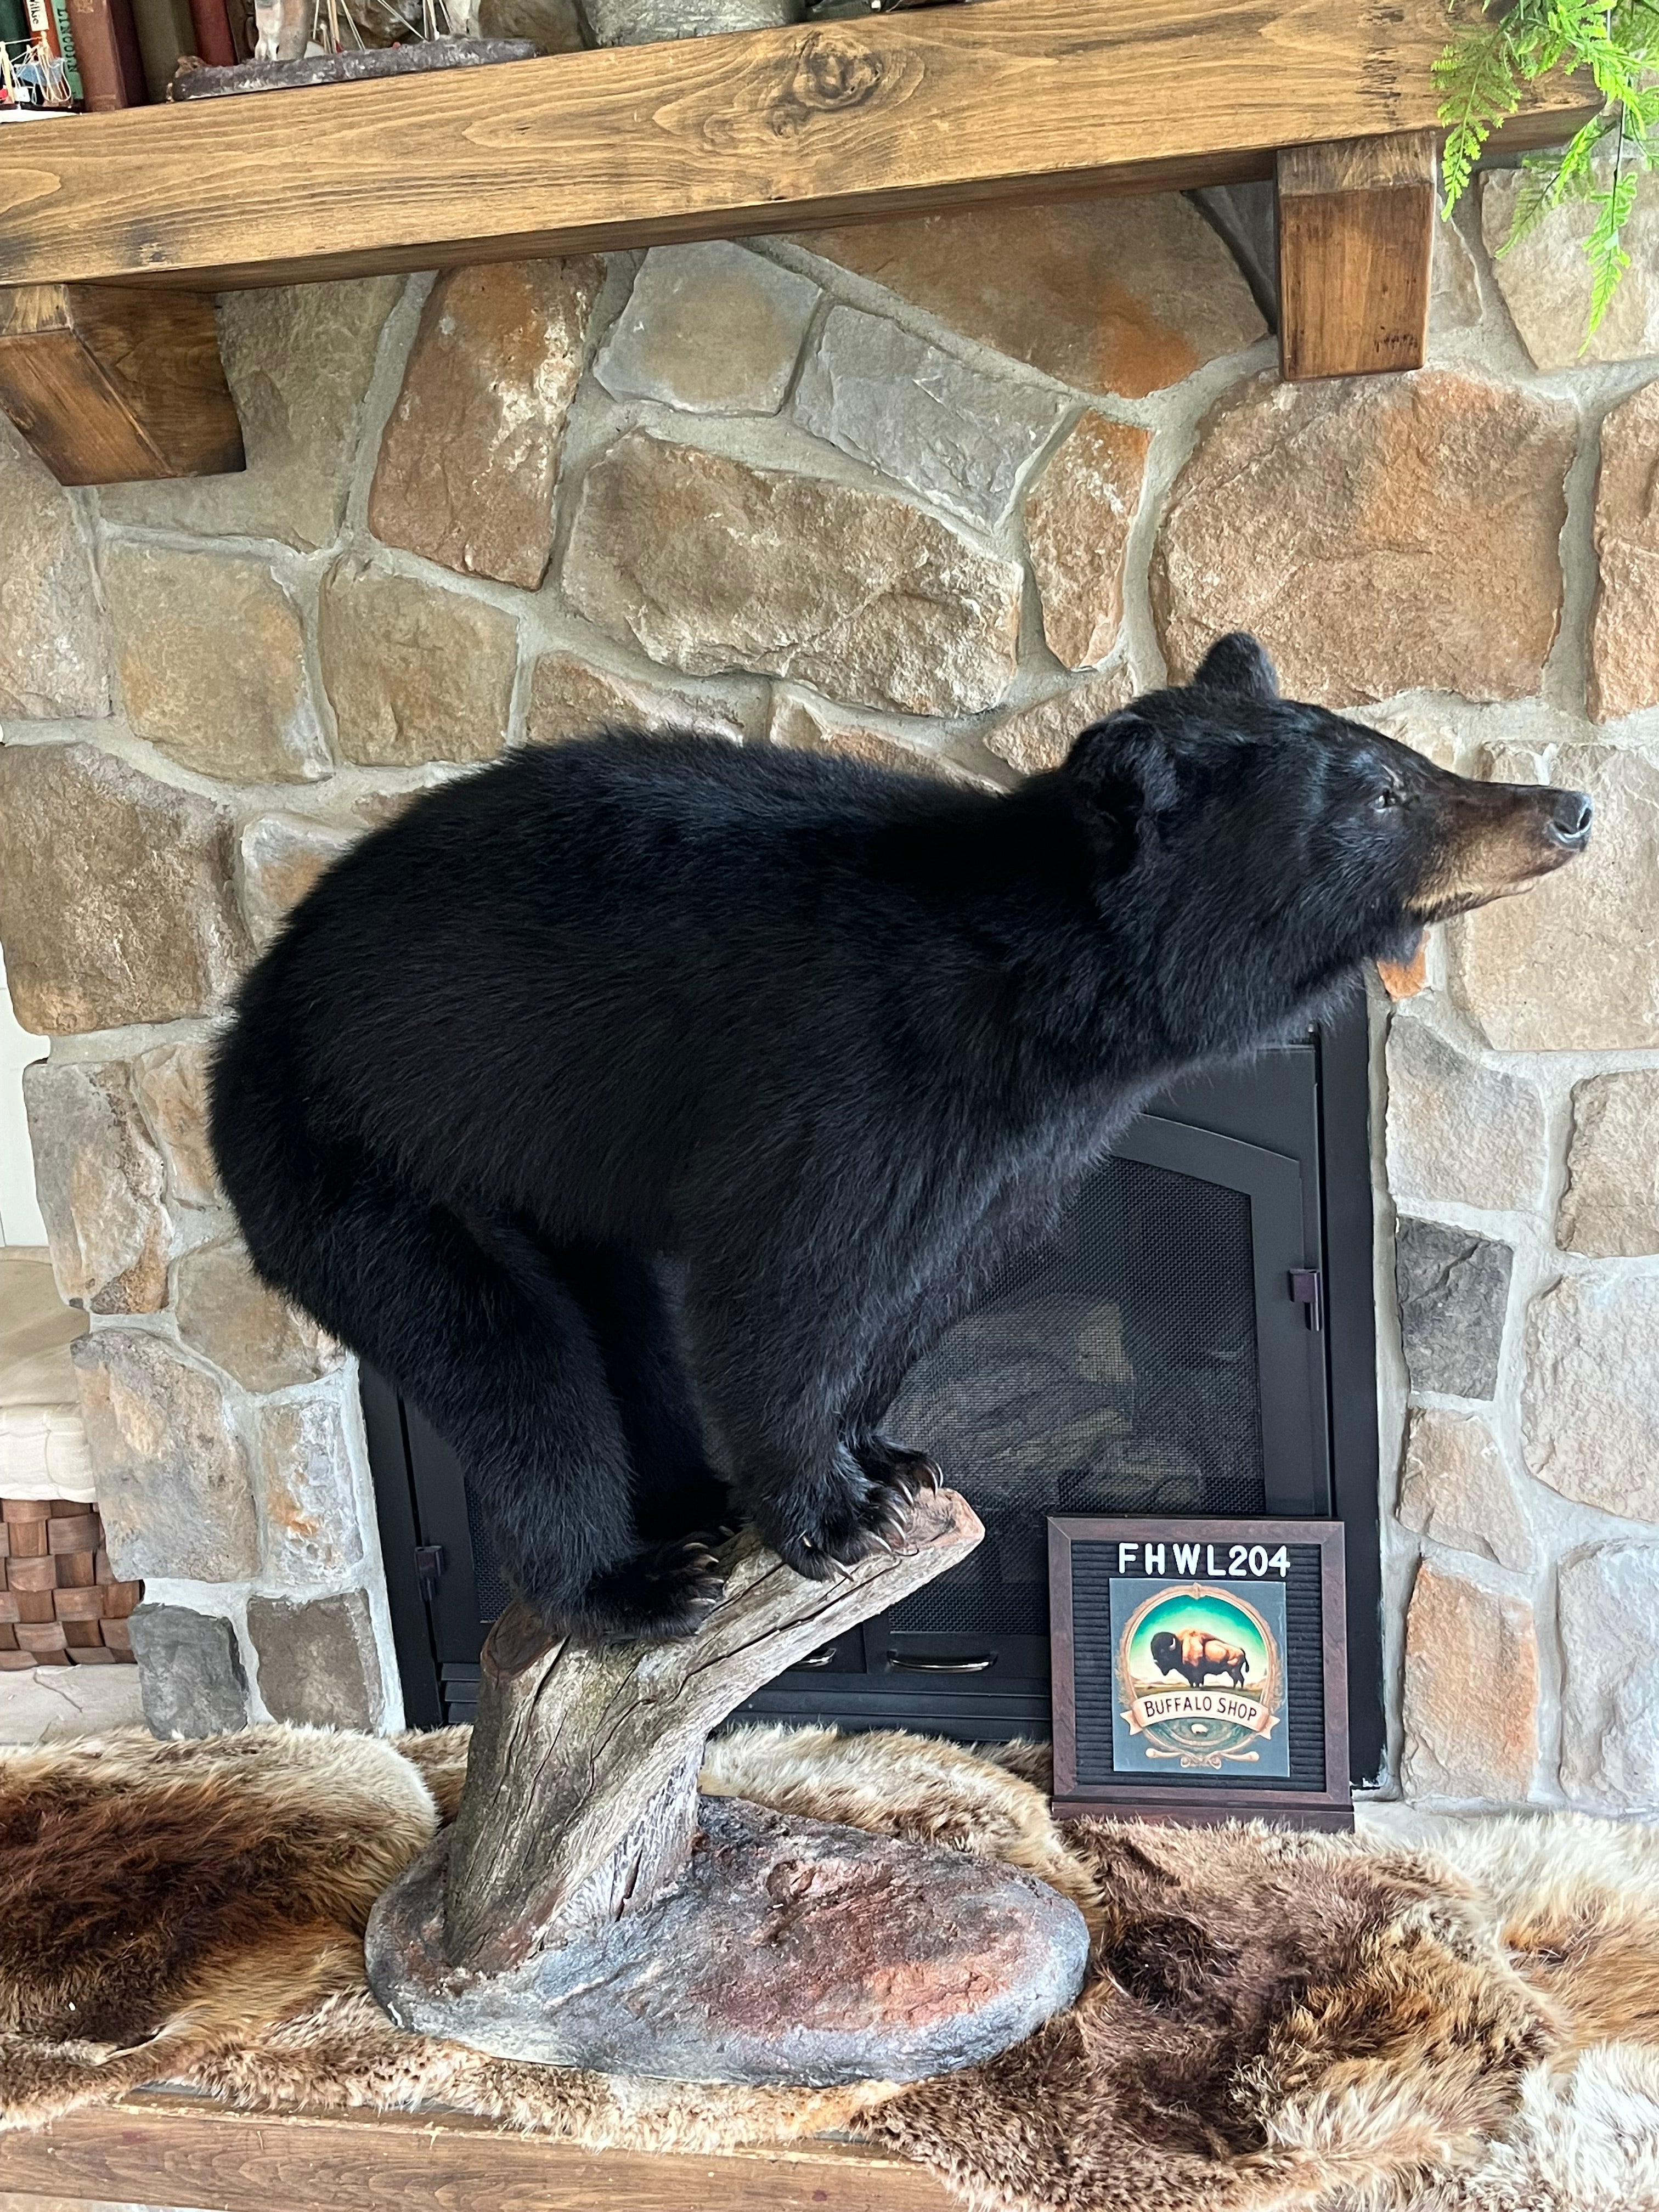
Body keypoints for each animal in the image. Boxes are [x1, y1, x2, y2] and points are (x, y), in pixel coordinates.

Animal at [209, 633, 1591, 1643]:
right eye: (1384, 794)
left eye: (1395, 751)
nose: (1567, 806)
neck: (1050, 1002)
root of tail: (246, 1021)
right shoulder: (850, 1075)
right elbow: (788, 1286)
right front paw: (829, 1513)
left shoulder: (1023, 1150)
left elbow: (928, 1281)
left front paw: (890, 1458)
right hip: (365, 1168)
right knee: (510, 1368)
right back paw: (628, 1584)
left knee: (622, 1327)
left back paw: (691, 1502)